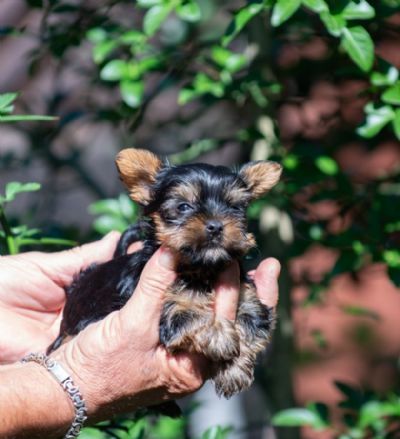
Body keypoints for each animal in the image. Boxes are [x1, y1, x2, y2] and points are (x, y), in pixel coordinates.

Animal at [48, 150, 282, 402]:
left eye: (235, 207)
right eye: (183, 206)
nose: (216, 226)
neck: (202, 269)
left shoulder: (248, 299)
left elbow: (251, 325)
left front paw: (234, 371)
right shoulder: (169, 311)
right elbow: (193, 316)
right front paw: (221, 337)